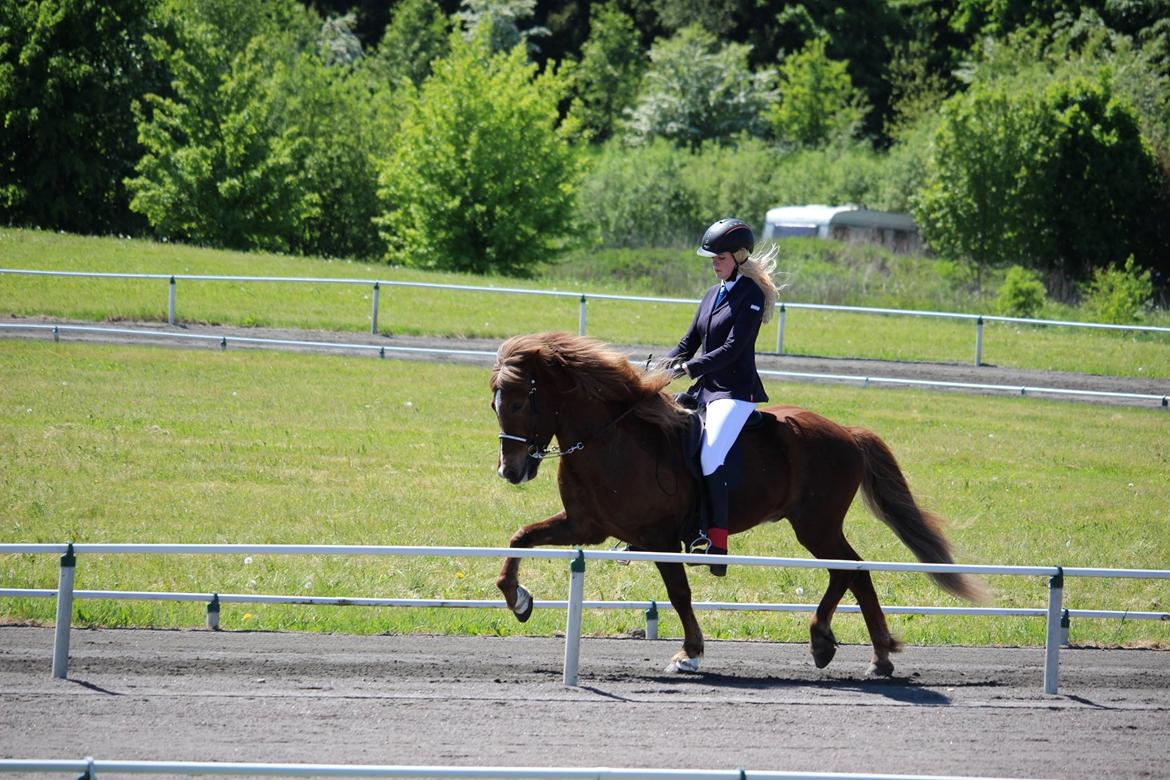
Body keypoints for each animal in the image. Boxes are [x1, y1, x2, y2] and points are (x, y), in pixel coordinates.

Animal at [486, 332, 987, 678]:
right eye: (494, 405)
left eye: (519, 402)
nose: (510, 471)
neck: (611, 438)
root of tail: (846, 432)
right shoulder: (585, 526)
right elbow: (521, 537)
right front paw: (518, 599)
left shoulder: (658, 537)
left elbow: (679, 593)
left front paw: (689, 653)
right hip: (817, 526)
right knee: (852, 572)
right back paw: (872, 656)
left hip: (816, 524)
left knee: (849, 569)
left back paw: (830, 643)